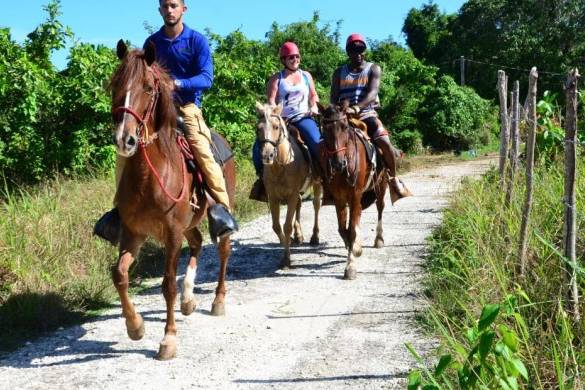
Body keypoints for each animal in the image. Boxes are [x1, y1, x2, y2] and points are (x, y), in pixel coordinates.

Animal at [108, 39, 236, 360]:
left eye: (147, 87)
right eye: (115, 84)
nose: (125, 139)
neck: (149, 176)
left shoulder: (172, 232)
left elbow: (167, 285)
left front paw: (168, 340)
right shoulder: (134, 233)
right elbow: (119, 274)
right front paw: (135, 326)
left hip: (215, 212)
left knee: (223, 250)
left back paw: (217, 301)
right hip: (190, 221)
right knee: (198, 242)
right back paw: (189, 299)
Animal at [254, 102, 322, 270]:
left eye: (276, 127)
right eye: (258, 128)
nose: (267, 155)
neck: (281, 166)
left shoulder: (291, 195)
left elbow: (286, 226)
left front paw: (286, 259)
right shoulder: (273, 197)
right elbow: (277, 226)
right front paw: (288, 242)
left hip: (317, 183)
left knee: (316, 205)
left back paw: (314, 237)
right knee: (299, 204)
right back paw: (298, 235)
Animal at [314, 102, 388, 278]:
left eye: (344, 126)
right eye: (325, 129)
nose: (338, 163)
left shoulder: (354, 195)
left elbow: (352, 230)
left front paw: (351, 266)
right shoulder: (340, 198)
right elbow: (344, 229)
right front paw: (354, 248)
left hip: (380, 186)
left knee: (380, 207)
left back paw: (379, 239)